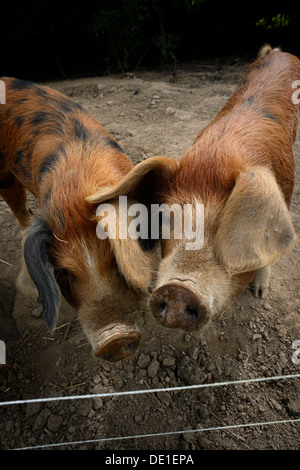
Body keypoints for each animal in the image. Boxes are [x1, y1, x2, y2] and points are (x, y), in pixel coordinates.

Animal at [89, 43, 300, 330]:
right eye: (165, 218)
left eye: (225, 227)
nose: (178, 290)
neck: (218, 155)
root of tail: (279, 51)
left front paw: (259, 294)